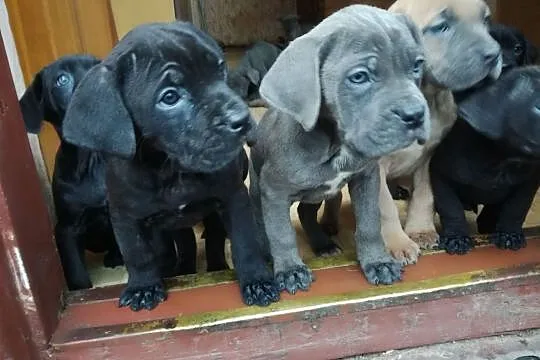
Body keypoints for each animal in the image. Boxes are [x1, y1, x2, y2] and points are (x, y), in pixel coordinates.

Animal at [62, 21, 278, 310]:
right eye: (170, 97)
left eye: (220, 69)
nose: (241, 119)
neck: (169, 169)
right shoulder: (124, 214)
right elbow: (137, 253)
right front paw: (143, 287)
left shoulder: (232, 197)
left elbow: (245, 242)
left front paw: (257, 280)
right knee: (179, 244)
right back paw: (179, 269)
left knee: (213, 236)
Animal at [249, 4, 430, 294]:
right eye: (359, 77)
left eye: (417, 65)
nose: (414, 115)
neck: (336, 143)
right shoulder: (273, 191)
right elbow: (280, 233)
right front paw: (289, 270)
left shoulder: (366, 178)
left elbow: (369, 223)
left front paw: (377, 262)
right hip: (258, 189)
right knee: (261, 220)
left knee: (305, 212)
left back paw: (323, 244)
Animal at [430, 65, 540, 256]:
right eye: (539, 107)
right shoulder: (439, 175)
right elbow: (451, 208)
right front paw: (456, 238)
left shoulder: (528, 183)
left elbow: (516, 208)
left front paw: (509, 234)